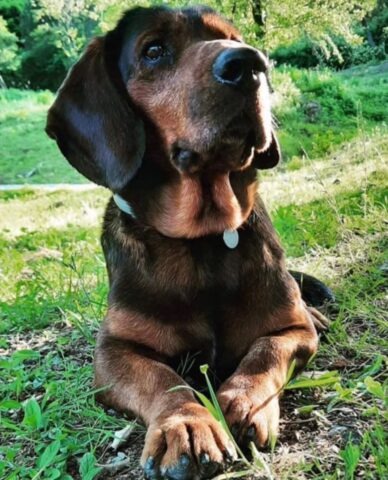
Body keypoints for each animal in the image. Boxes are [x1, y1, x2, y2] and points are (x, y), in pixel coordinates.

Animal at [45, 4, 330, 480]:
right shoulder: (112, 353)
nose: (249, 64)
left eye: (234, 37)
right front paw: (187, 424)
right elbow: (164, 380)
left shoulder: (292, 330)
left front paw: (243, 400)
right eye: (154, 50)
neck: (202, 241)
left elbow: (266, 351)